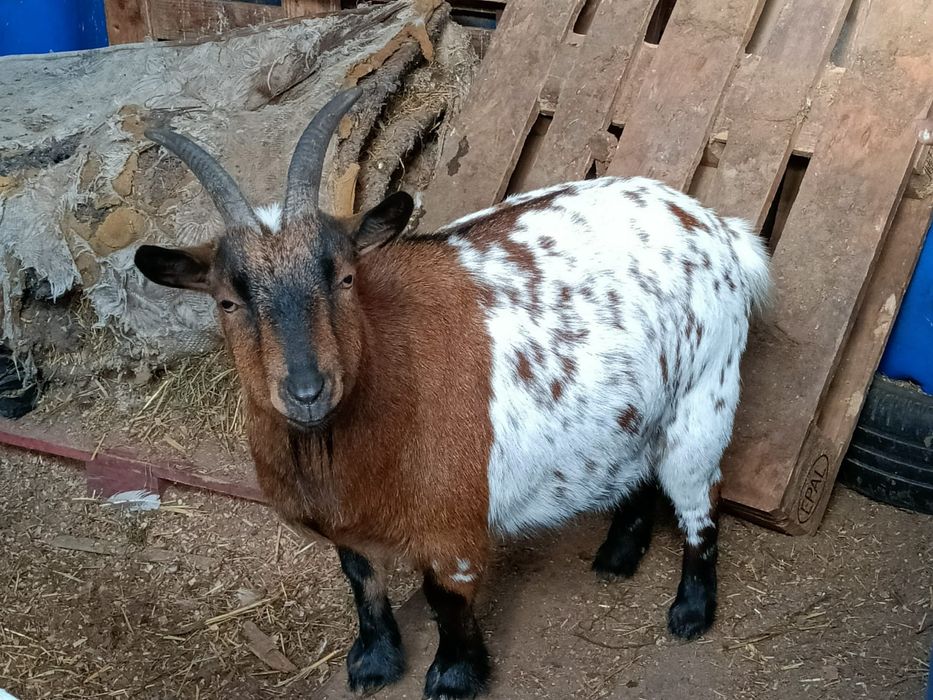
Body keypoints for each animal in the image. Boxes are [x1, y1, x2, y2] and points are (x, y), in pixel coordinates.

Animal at [134, 88, 771, 699]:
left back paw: (690, 610)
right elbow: (362, 580)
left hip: (705, 395)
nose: (308, 390)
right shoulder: (348, 525)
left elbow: (448, 597)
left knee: (700, 498)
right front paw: (374, 662)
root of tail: (718, 227)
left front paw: (455, 676)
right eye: (227, 301)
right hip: (640, 407)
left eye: (345, 277)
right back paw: (616, 559)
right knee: (639, 465)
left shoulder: (453, 521)